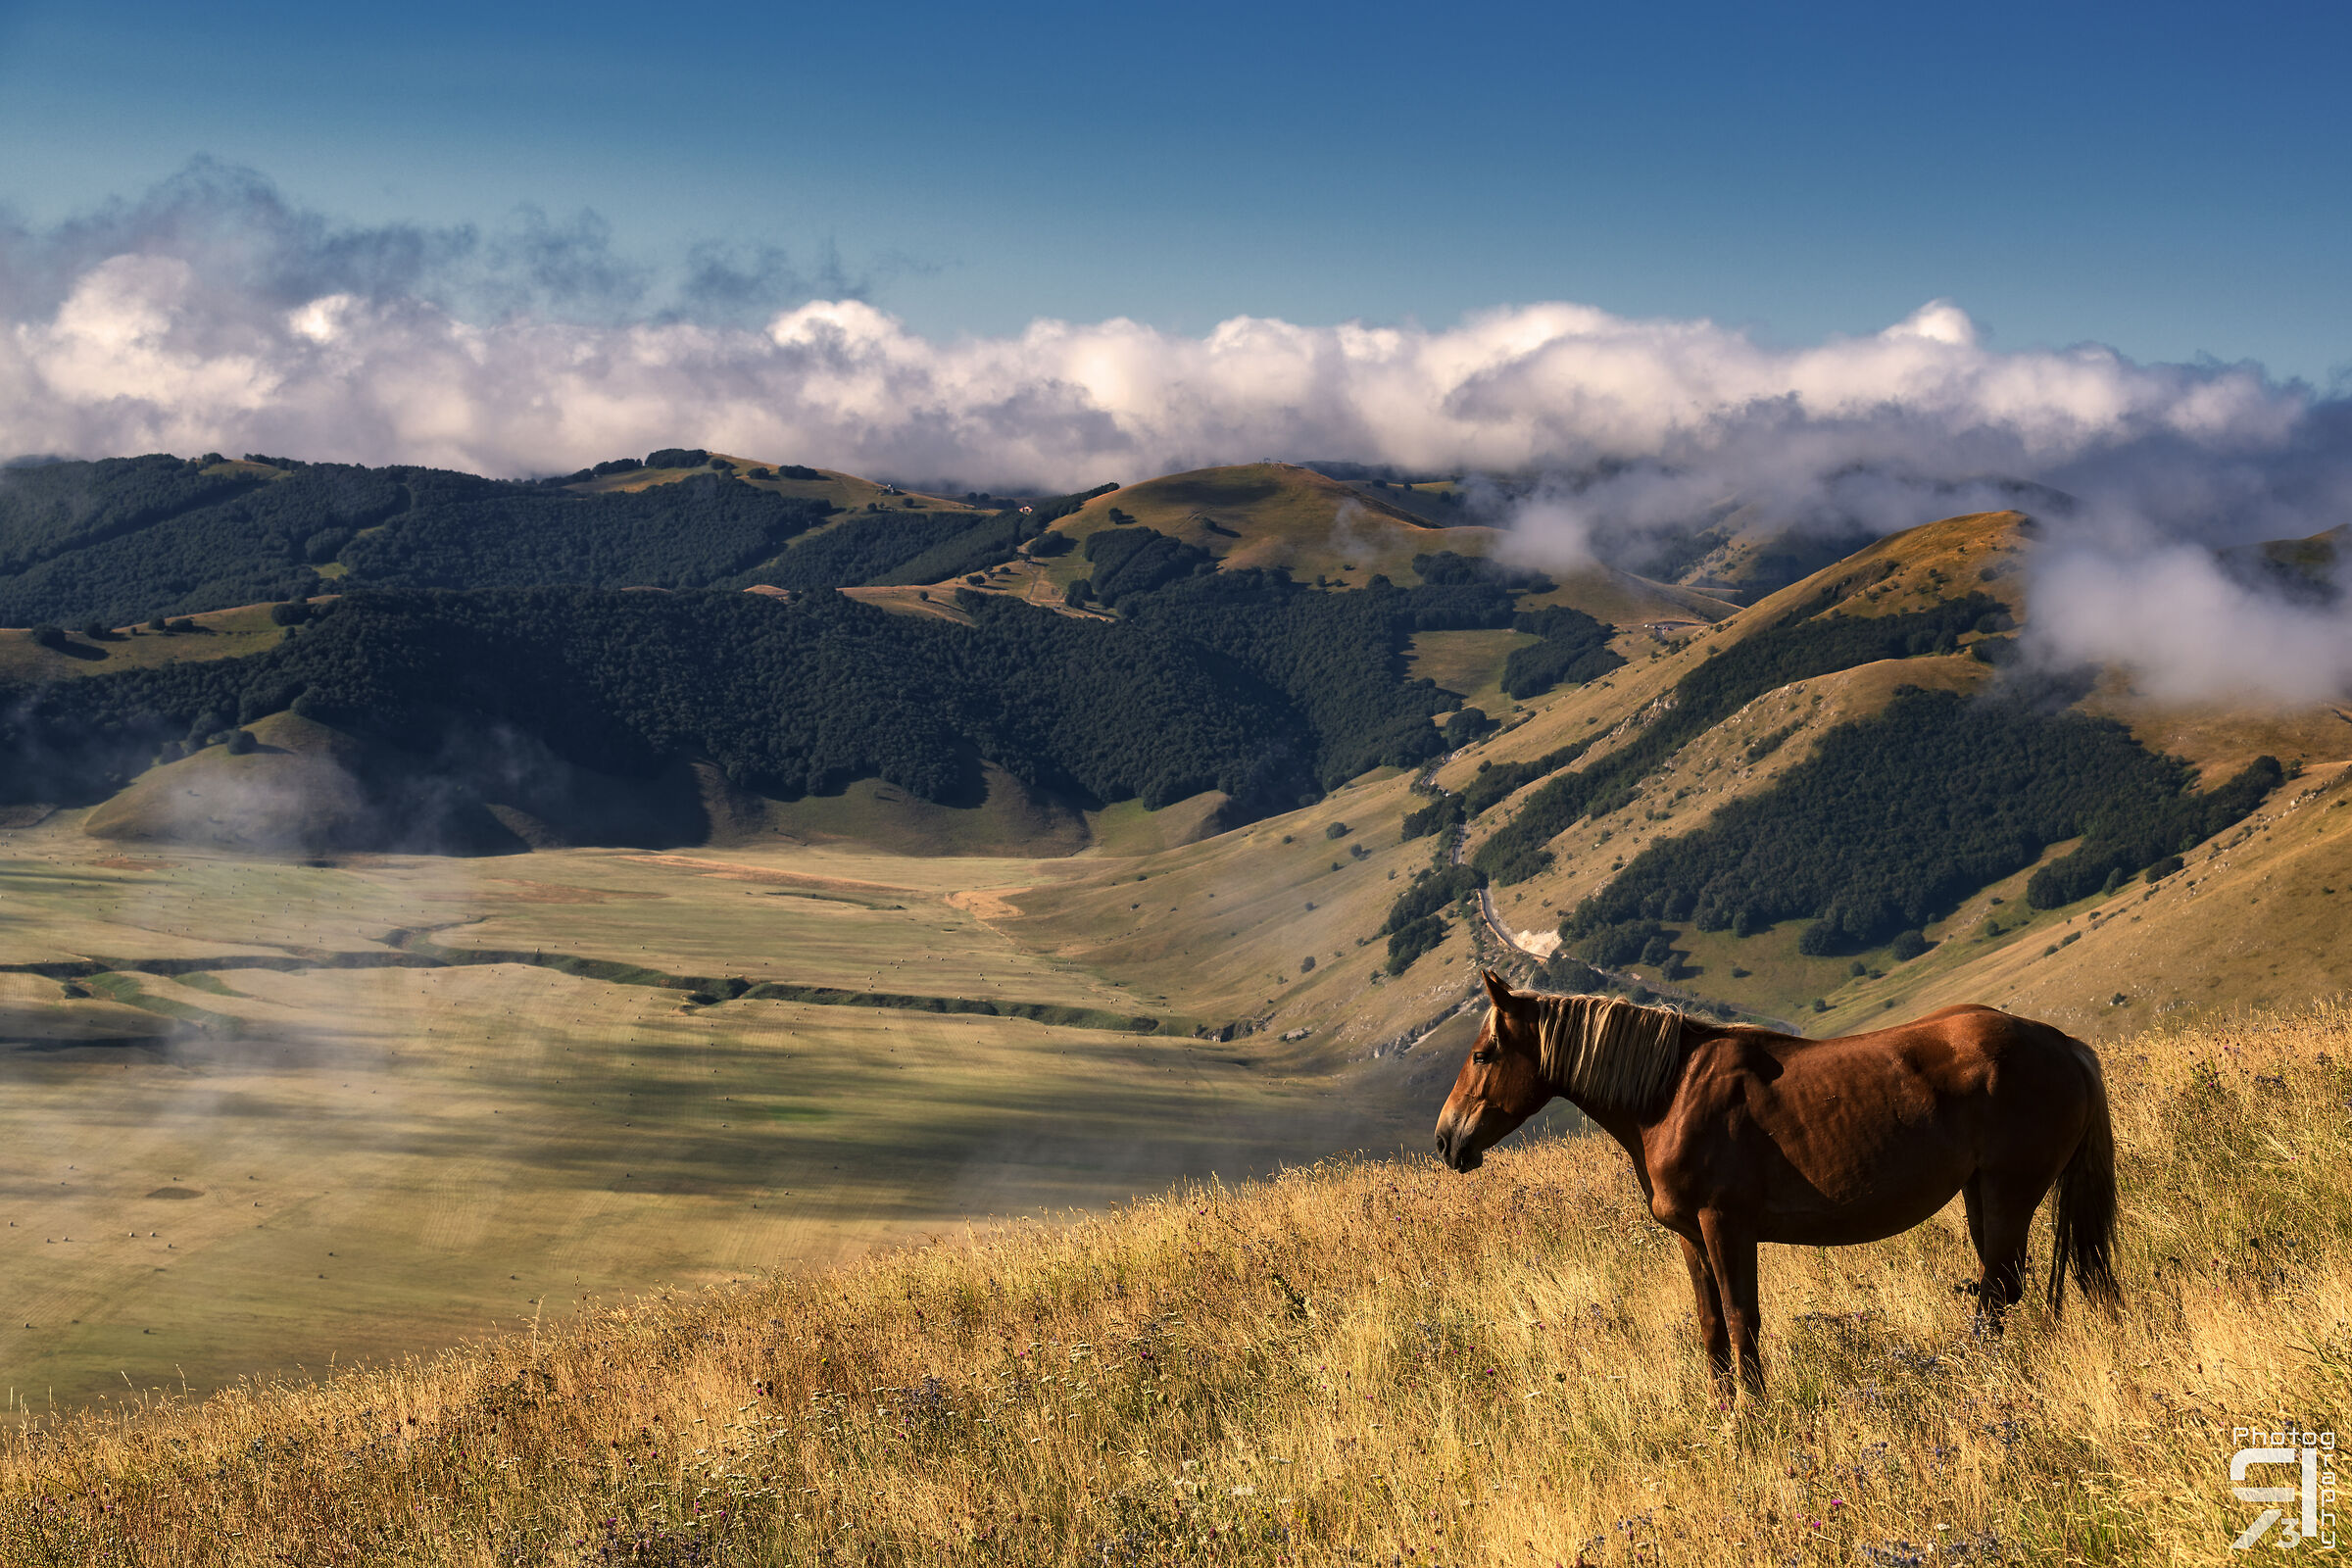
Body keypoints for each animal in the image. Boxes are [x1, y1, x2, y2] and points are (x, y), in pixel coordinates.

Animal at [1434, 971, 2119, 1397]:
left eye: (1483, 1055)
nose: (1445, 1141)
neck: (1671, 1093)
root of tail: (2065, 1046)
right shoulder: (1692, 1236)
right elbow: (1712, 1325)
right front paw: (1721, 1413)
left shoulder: (1726, 1225)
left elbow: (1742, 1320)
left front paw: (1753, 1415)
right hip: (1983, 1195)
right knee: (2003, 1288)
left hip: (2008, 1194)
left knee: (1997, 1292)